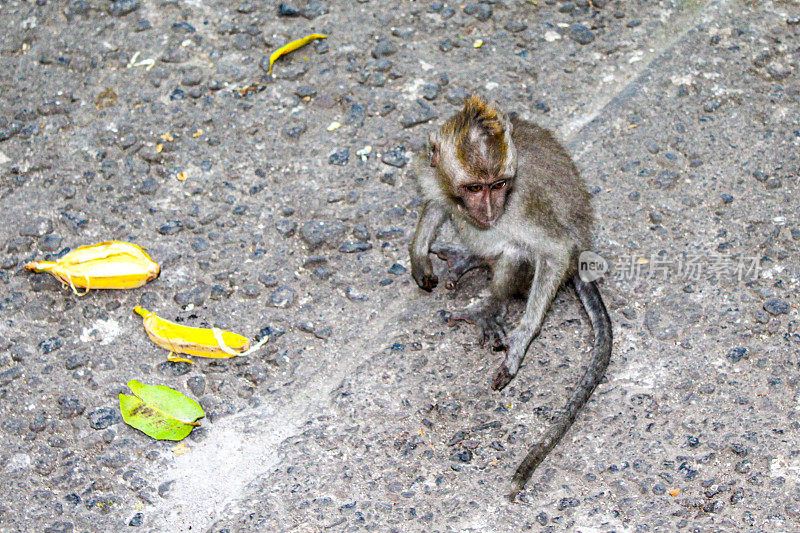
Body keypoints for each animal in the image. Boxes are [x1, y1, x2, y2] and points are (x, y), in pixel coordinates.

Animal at [412, 94, 612, 498]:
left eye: (500, 184)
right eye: (474, 188)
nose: (490, 210)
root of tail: (585, 252)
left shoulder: (521, 203)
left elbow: (554, 250)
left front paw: (521, 339)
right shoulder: (432, 173)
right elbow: (438, 202)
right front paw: (418, 253)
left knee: (519, 252)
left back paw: (491, 304)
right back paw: (472, 258)